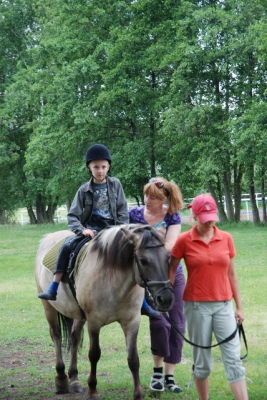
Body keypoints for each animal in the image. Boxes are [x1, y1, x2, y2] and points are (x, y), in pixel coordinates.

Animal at [34, 223, 175, 398]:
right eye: (143, 261)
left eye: (168, 257)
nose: (166, 299)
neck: (113, 280)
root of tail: (48, 237)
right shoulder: (94, 322)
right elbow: (94, 354)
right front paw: (93, 390)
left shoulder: (132, 321)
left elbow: (133, 359)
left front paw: (138, 393)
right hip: (49, 307)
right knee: (56, 336)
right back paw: (61, 378)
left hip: (79, 315)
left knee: (74, 338)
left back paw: (74, 379)